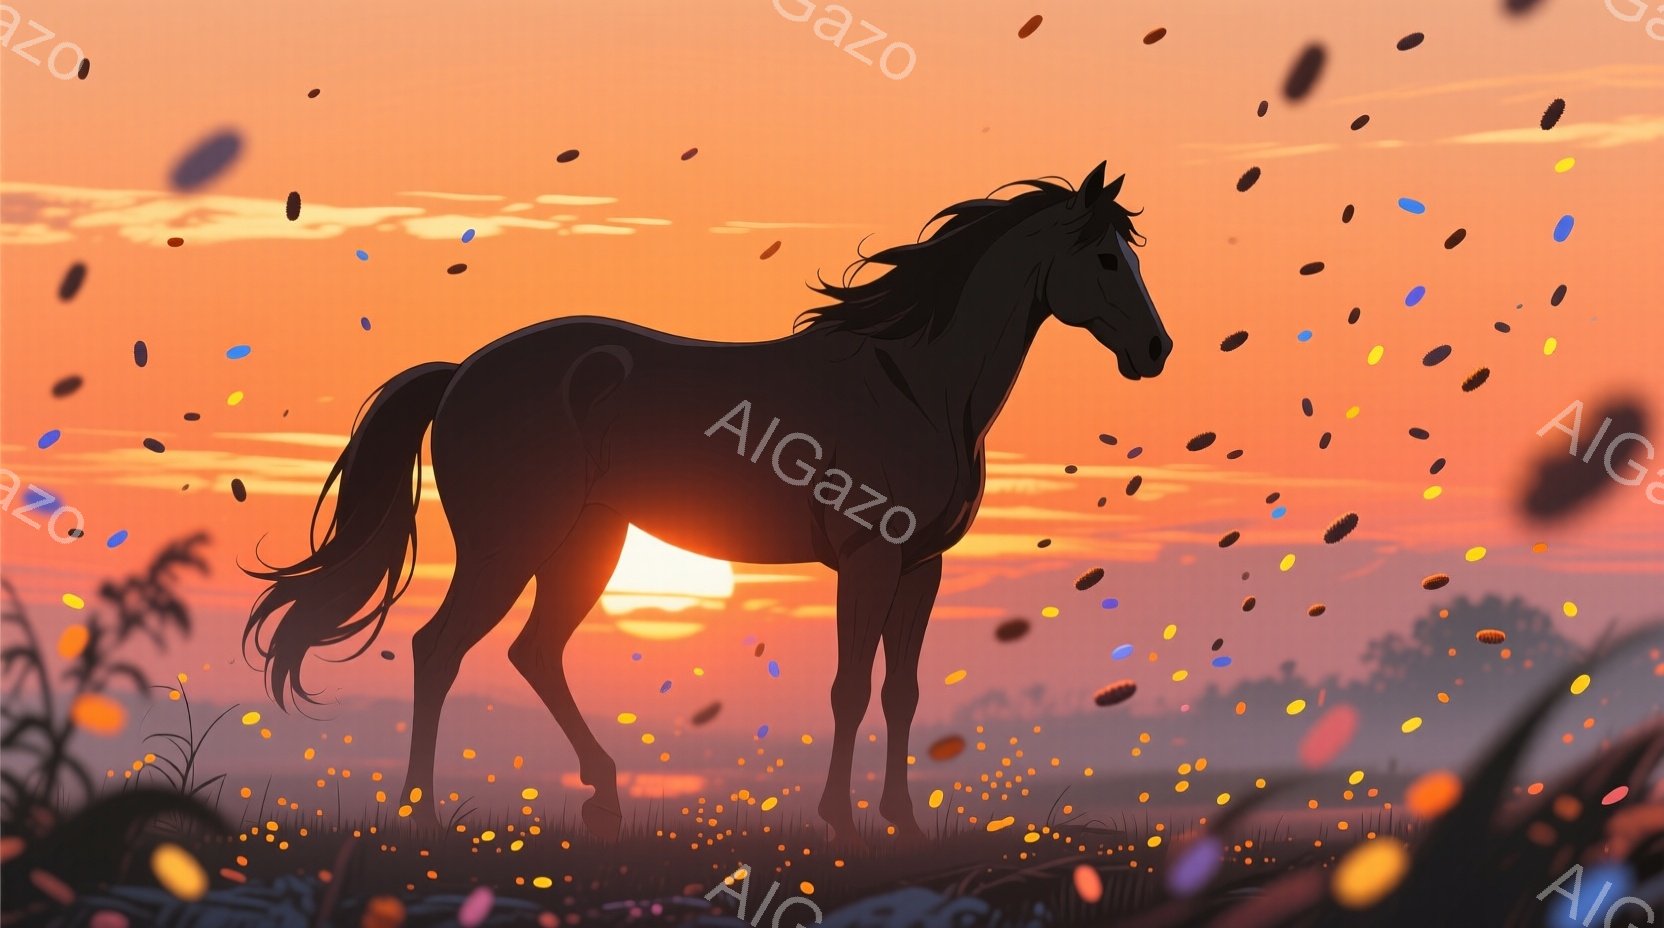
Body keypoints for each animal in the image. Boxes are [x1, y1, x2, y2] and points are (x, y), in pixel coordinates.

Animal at [243, 161, 1172, 844]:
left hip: (589, 546)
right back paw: (423, 815)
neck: (914, 386)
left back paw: (604, 800)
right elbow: (849, 686)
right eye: (1104, 259)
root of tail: (464, 370)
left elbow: (901, 691)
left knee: (533, 653)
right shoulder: (868, 558)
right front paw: (841, 823)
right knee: (439, 648)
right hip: (511, 545)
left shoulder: (921, 565)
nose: (1156, 351)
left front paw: (903, 824)